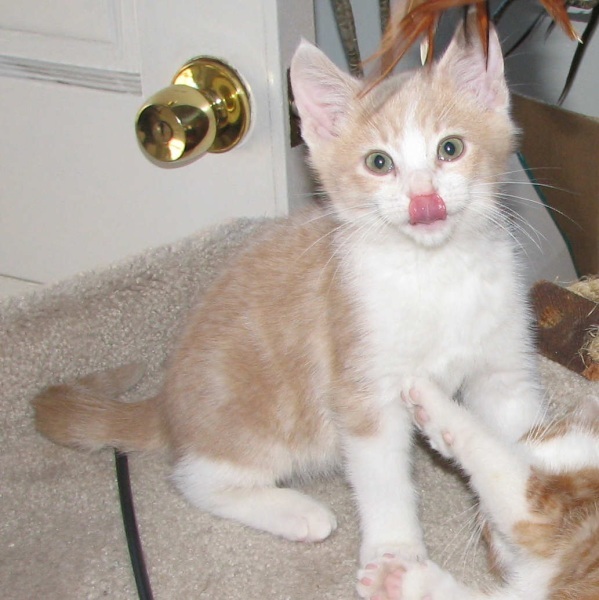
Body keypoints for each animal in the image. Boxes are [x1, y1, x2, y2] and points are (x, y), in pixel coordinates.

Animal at [35, 21, 548, 576]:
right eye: (379, 162)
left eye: (450, 149)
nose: (424, 201)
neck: (435, 272)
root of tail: (167, 403)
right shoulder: (361, 384)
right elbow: (382, 474)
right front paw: (394, 549)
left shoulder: (504, 370)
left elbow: (518, 437)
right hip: (260, 415)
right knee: (196, 477)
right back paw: (294, 511)